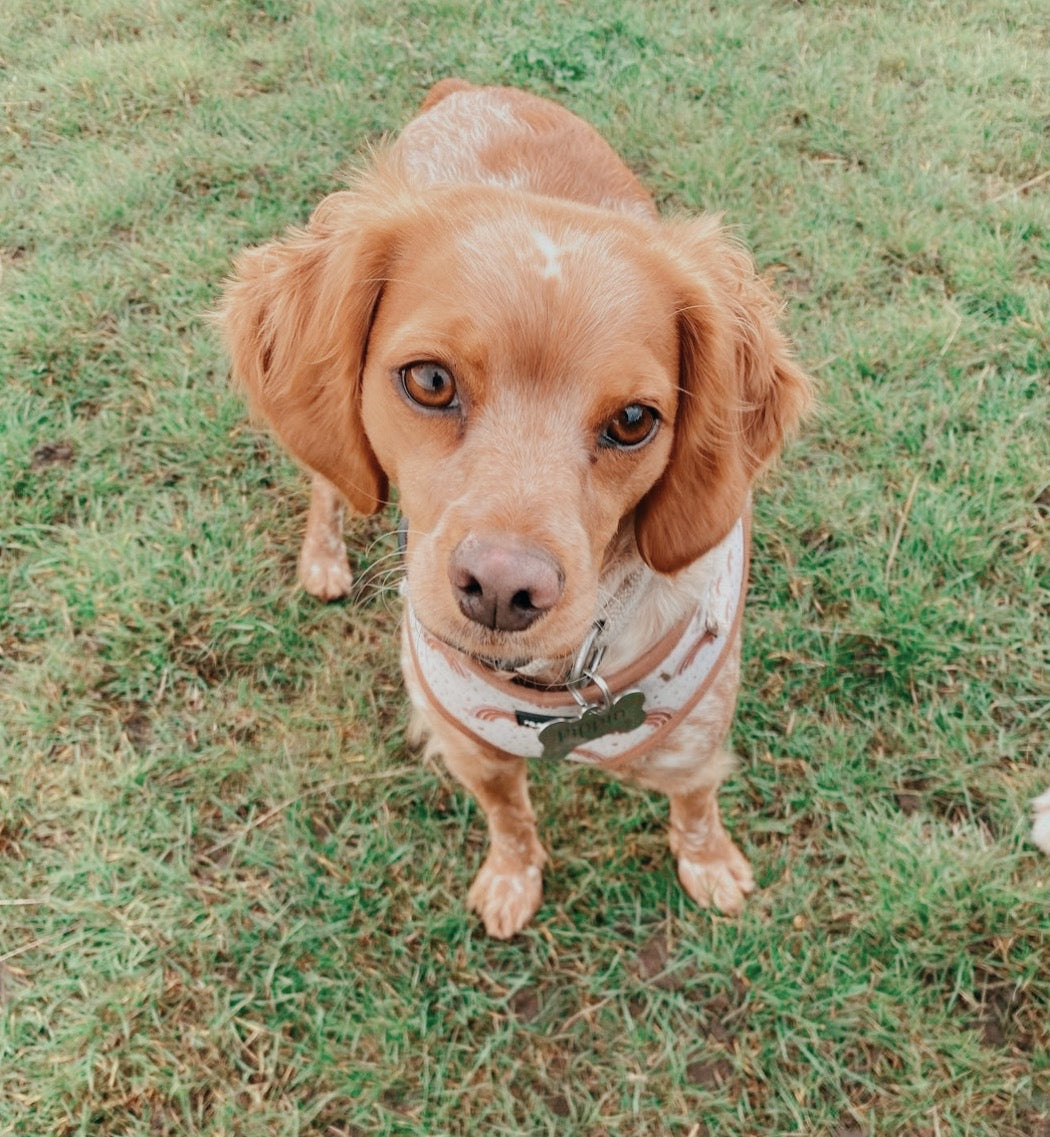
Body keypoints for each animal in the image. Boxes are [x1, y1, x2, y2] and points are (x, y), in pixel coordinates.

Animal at [219, 77, 814, 932]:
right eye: (430, 380)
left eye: (634, 420)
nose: (502, 589)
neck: (561, 682)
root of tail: (470, 88)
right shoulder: (470, 747)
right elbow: (510, 815)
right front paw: (512, 877)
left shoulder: (696, 740)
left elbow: (697, 808)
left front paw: (711, 865)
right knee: (328, 480)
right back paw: (323, 557)